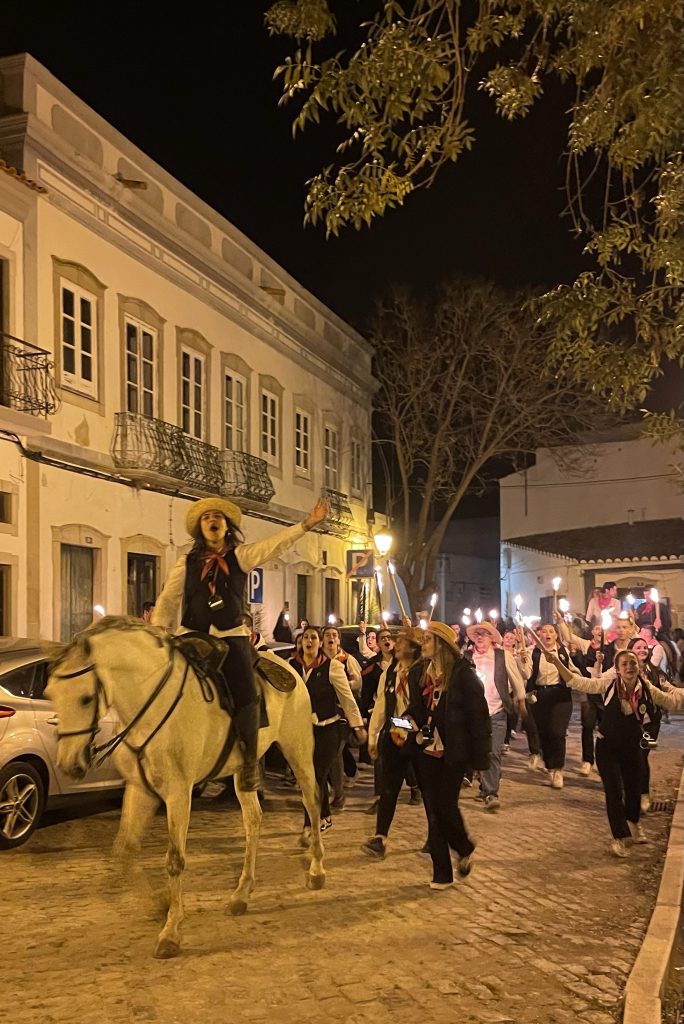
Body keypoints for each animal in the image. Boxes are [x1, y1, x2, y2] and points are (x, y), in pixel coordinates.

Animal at [44, 616, 324, 959]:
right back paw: (242, 893)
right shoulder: (140, 789)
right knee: (253, 821)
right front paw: (160, 903)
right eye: (50, 693)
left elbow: (175, 861)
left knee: (312, 801)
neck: (148, 703)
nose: (69, 764)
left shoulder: (178, 793)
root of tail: (288, 665)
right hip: (242, 771)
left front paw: (171, 931)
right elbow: (124, 851)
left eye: (85, 698)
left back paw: (316, 871)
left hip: (298, 751)